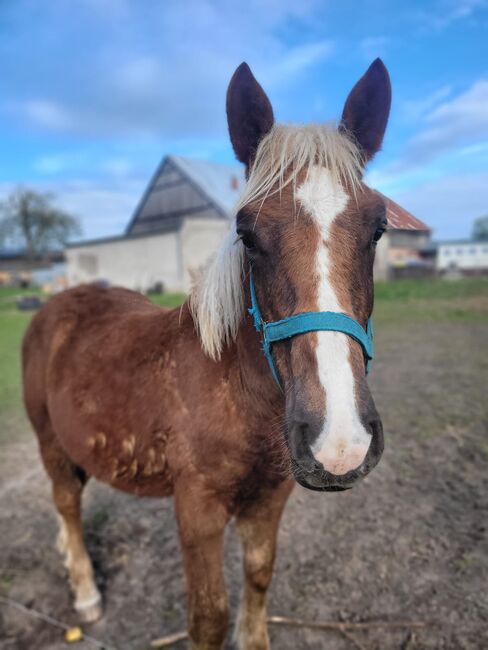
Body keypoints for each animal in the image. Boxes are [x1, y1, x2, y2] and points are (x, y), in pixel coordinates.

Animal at [21, 58, 392, 644]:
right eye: (246, 232)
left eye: (378, 228)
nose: (341, 441)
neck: (235, 392)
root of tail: (55, 305)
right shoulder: (197, 511)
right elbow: (209, 617)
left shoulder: (269, 500)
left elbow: (258, 579)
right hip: (51, 445)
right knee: (67, 506)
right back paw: (85, 595)